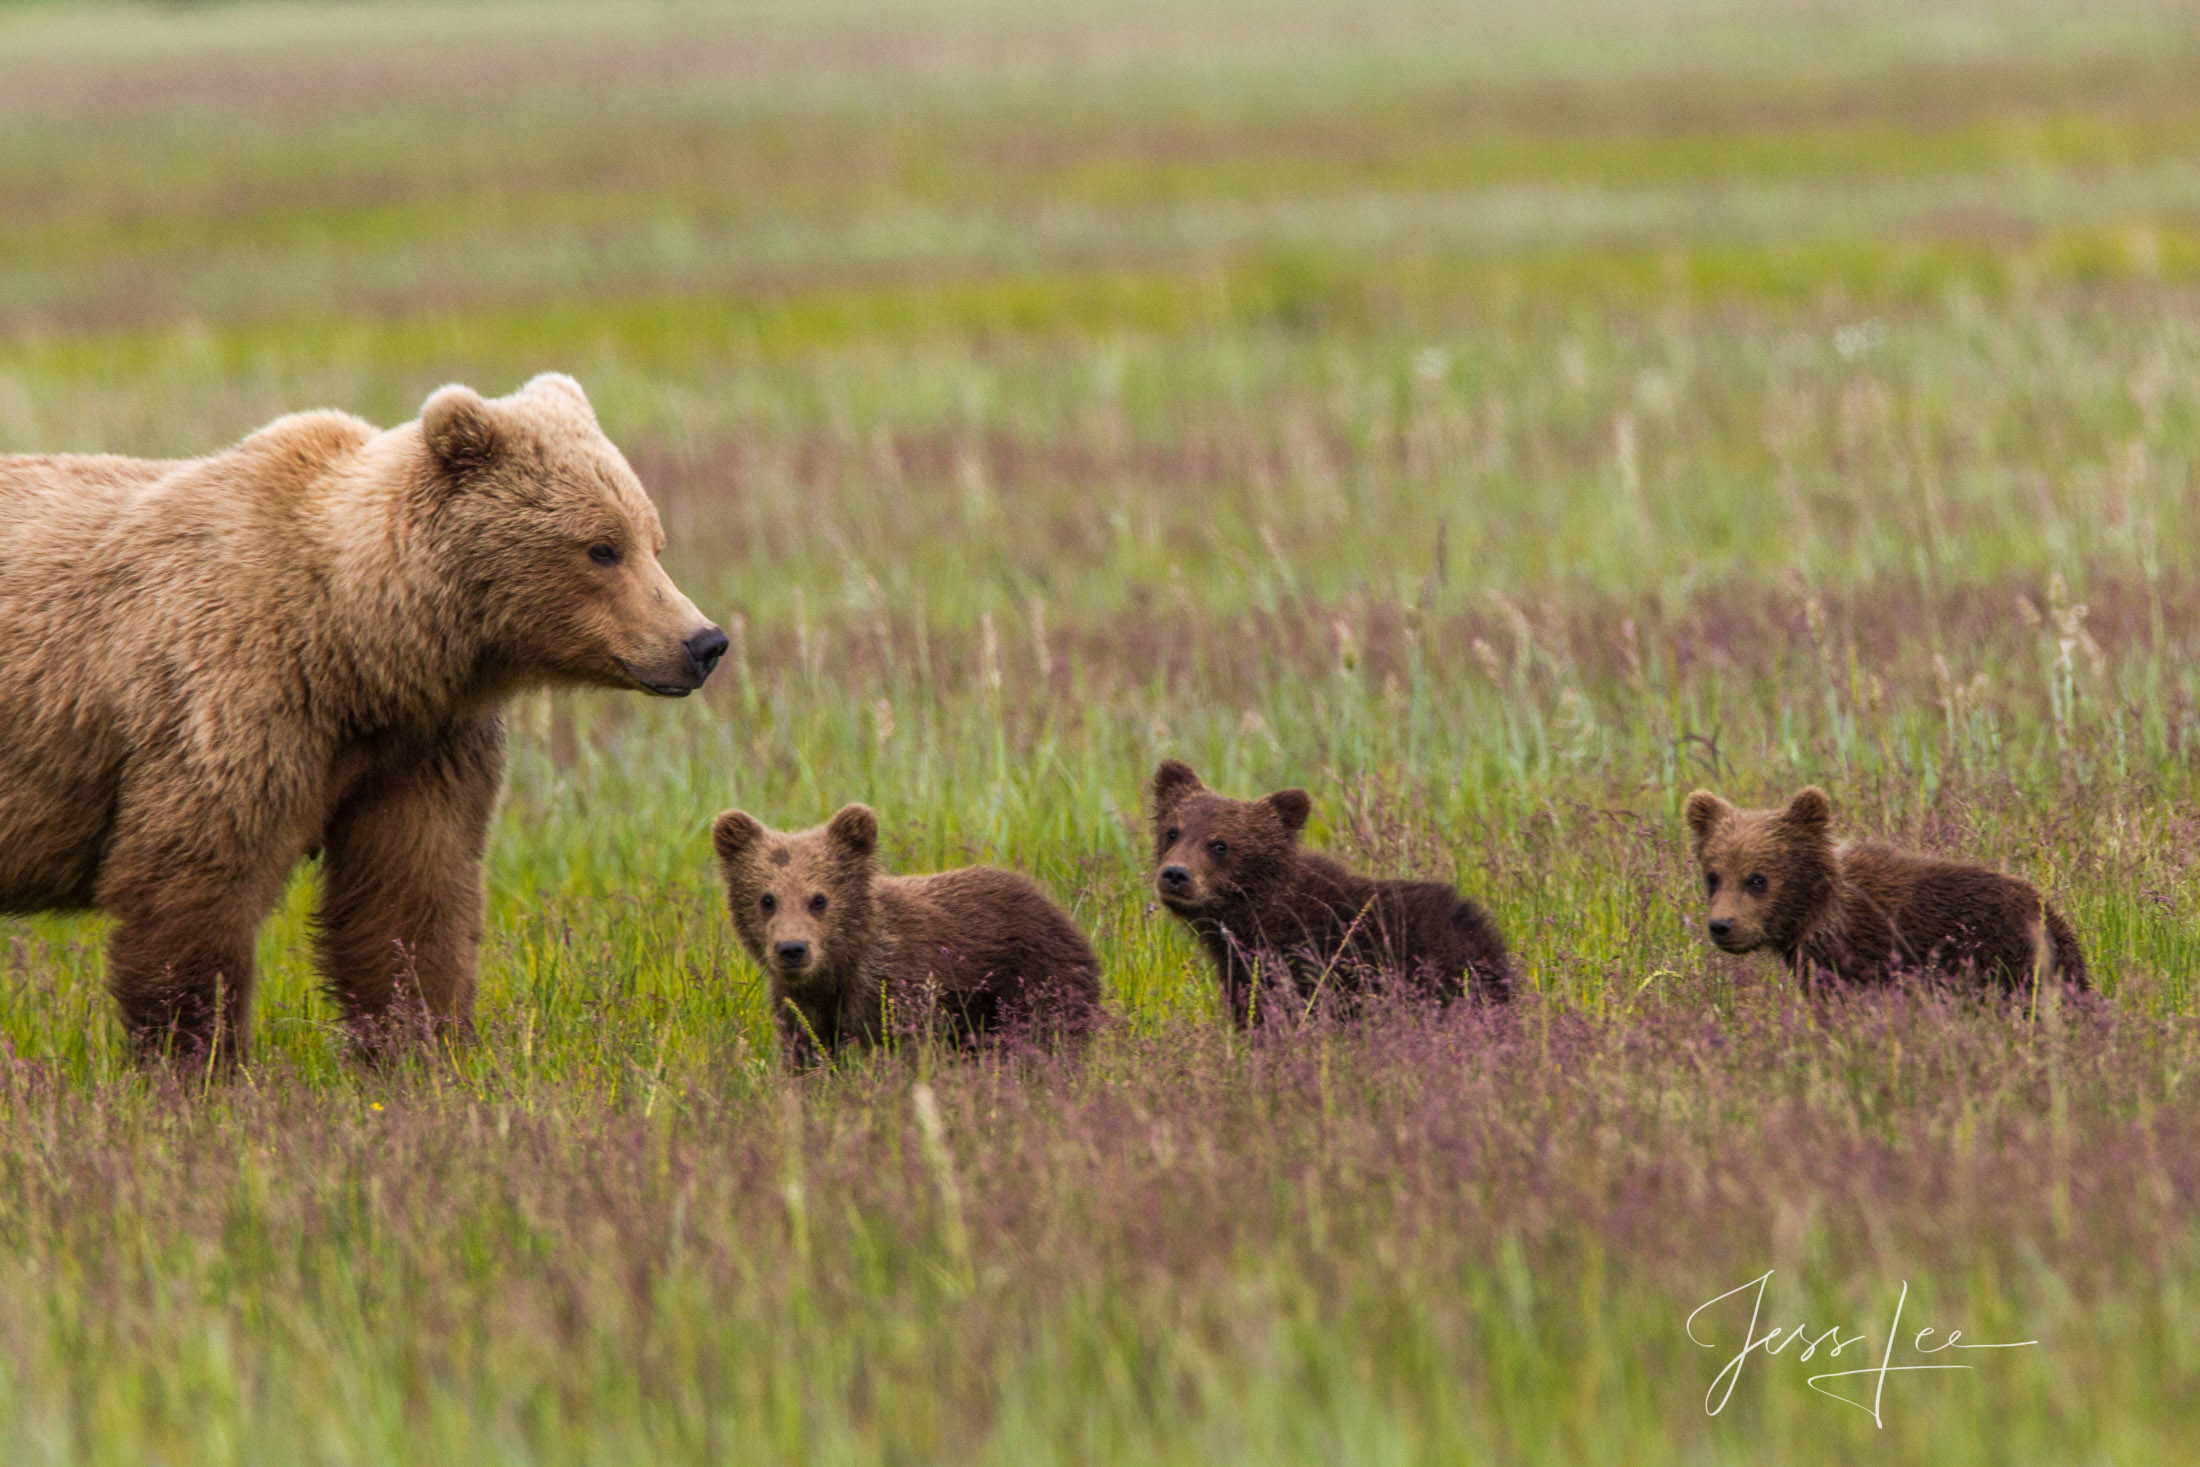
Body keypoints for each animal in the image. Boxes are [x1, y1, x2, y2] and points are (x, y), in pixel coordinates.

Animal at [0, 376, 730, 1068]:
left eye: (654, 540)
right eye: (602, 548)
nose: (703, 642)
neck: (353, 644)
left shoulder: (418, 747)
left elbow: (409, 896)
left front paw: (424, 1049)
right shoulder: (229, 698)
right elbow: (194, 884)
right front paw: (197, 1063)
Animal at [712, 804, 1108, 1068]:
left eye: (819, 898)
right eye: (767, 899)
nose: (792, 949)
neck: (841, 969)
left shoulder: (901, 991)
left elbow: (906, 1052)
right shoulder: (801, 1008)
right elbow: (808, 1056)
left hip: (1035, 982)